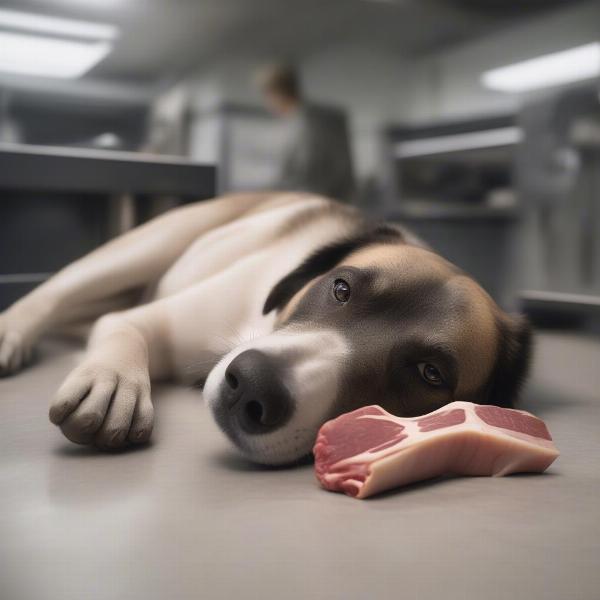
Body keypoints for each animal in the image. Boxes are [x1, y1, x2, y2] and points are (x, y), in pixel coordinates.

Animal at [0, 192, 536, 464]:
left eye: (429, 374)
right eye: (341, 288)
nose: (252, 386)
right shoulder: (152, 319)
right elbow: (123, 328)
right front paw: (113, 380)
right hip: (147, 246)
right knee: (55, 291)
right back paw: (13, 332)